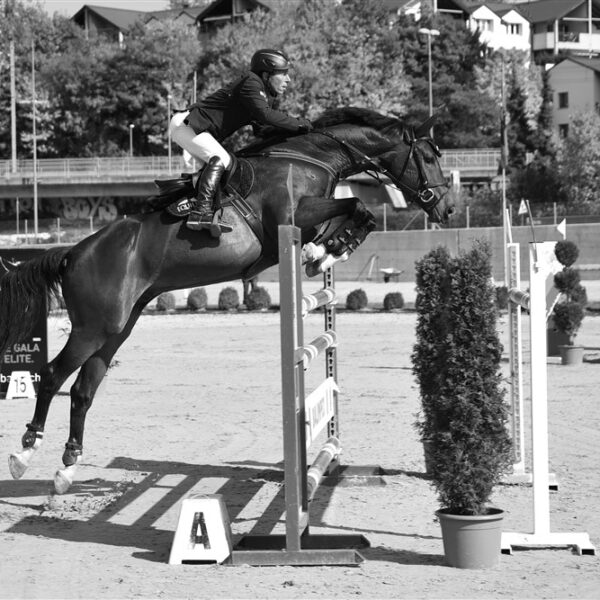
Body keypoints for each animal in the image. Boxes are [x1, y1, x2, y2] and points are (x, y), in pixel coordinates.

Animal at [0, 106, 452, 493]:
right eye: (429, 156)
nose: (446, 209)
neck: (310, 158)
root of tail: (74, 252)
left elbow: (360, 214)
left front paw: (326, 252)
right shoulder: (292, 217)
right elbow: (357, 203)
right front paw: (323, 251)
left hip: (117, 328)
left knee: (82, 391)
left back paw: (67, 468)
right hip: (93, 328)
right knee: (52, 376)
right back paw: (25, 453)